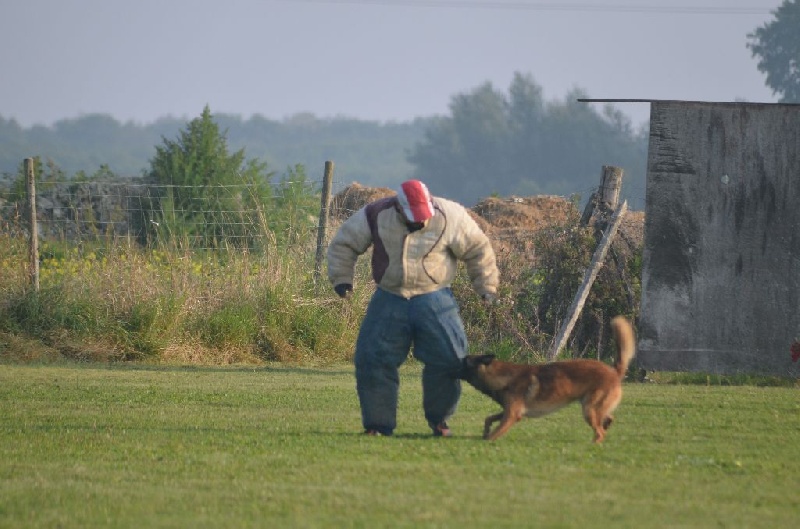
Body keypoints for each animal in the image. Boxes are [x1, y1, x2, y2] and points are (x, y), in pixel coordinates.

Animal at [460, 316, 636, 444]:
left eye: (464, 361)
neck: (503, 377)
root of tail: (614, 372)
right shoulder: (508, 410)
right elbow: (488, 418)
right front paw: (485, 431)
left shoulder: (512, 415)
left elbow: (495, 433)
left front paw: (485, 440)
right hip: (592, 407)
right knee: (608, 419)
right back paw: (605, 426)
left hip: (588, 409)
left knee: (600, 433)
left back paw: (593, 444)